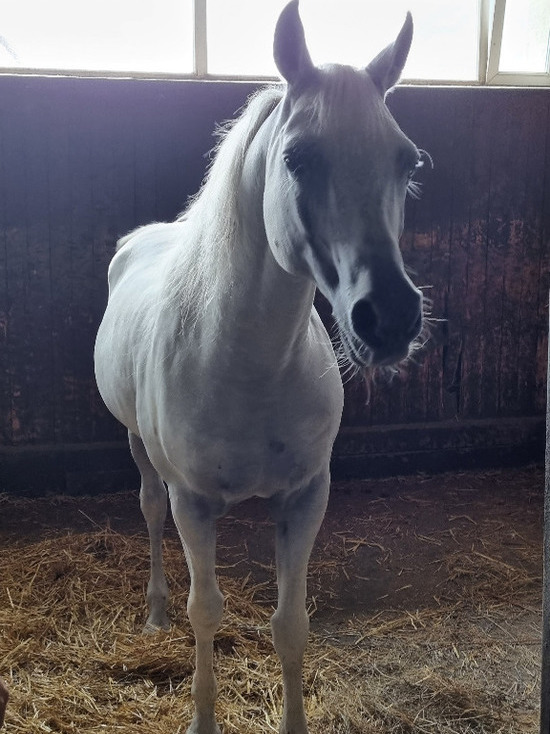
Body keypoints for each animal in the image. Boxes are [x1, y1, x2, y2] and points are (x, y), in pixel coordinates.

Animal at [95, 2, 424, 732]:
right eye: (298, 157)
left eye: (408, 160)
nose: (390, 319)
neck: (249, 363)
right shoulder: (194, 504)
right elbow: (206, 614)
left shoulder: (305, 498)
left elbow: (289, 626)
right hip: (138, 449)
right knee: (149, 512)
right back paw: (155, 613)